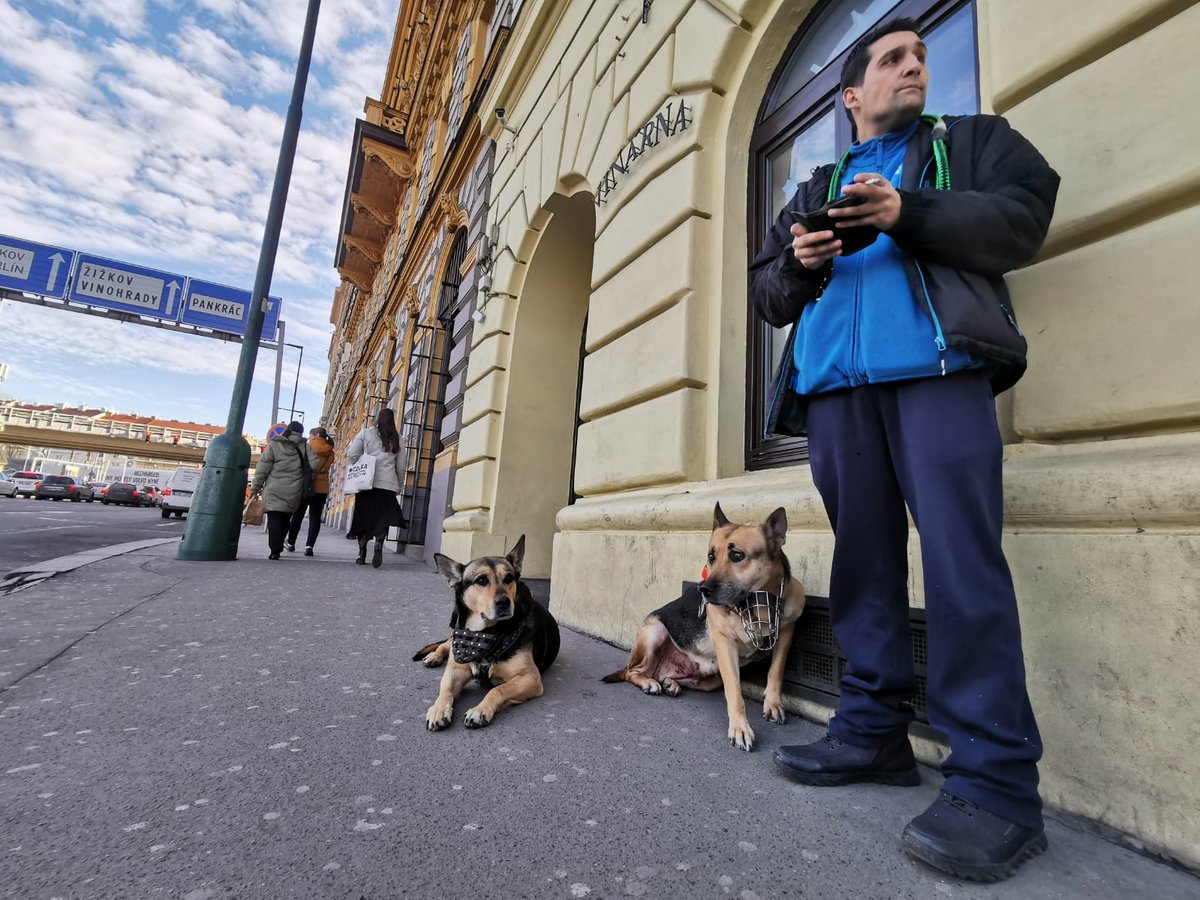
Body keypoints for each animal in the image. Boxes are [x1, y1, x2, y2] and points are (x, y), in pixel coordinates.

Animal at [415, 535, 559, 734]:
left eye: (509, 578)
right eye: (481, 580)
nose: (504, 602)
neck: (485, 635)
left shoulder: (530, 678)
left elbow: (497, 690)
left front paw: (479, 710)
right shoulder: (457, 668)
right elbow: (445, 689)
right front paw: (438, 709)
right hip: (455, 632)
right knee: (446, 643)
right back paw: (434, 656)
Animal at [600, 508, 806, 753]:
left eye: (737, 555)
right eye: (711, 556)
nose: (704, 590)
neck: (757, 604)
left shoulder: (786, 632)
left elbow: (776, 671)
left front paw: (773, 704)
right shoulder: (725, 645)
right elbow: (735, 692)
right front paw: (740, 728)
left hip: (710, 679)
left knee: (667, 675)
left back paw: (670, 683)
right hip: (655, 631)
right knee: (632, 671)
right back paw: (649, 682)